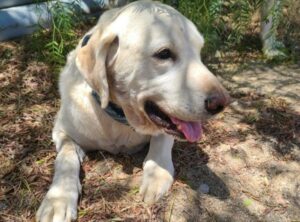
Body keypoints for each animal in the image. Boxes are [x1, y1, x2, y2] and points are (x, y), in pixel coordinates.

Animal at [37, 0, 230, 221]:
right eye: (164, 54)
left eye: (199, 52)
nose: (223, 103)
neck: (119, 117)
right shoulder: (62, 131)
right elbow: (66, 157)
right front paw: (58, 199)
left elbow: (162, 140)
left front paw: (157, 173)